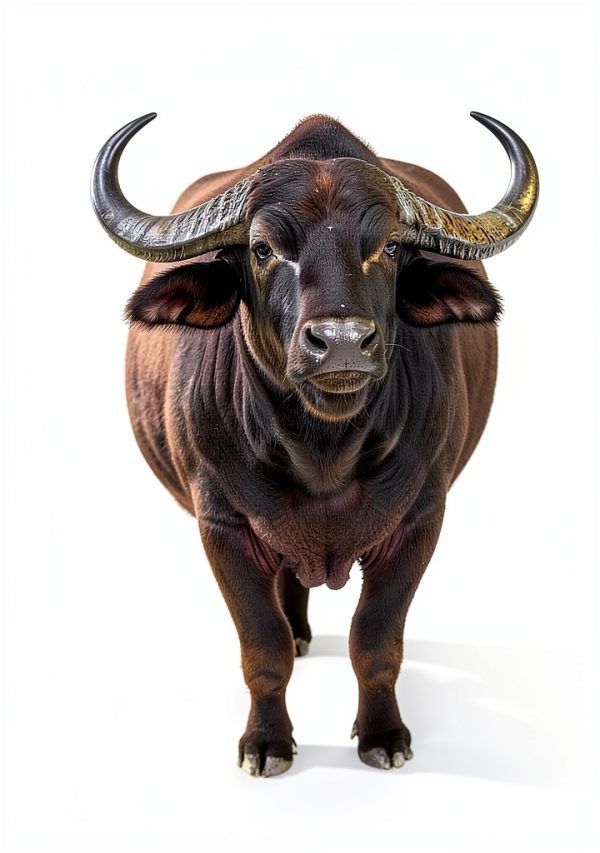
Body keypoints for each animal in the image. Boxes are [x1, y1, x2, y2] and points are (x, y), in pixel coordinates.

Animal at [91, 112, 538, 776]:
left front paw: (383, 735)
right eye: (262, 248)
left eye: (390, 246)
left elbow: (375, 642)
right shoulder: (221, 525)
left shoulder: (421, 518)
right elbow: (263, 648)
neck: (323, 454)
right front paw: (267, 742)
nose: (343, 342)